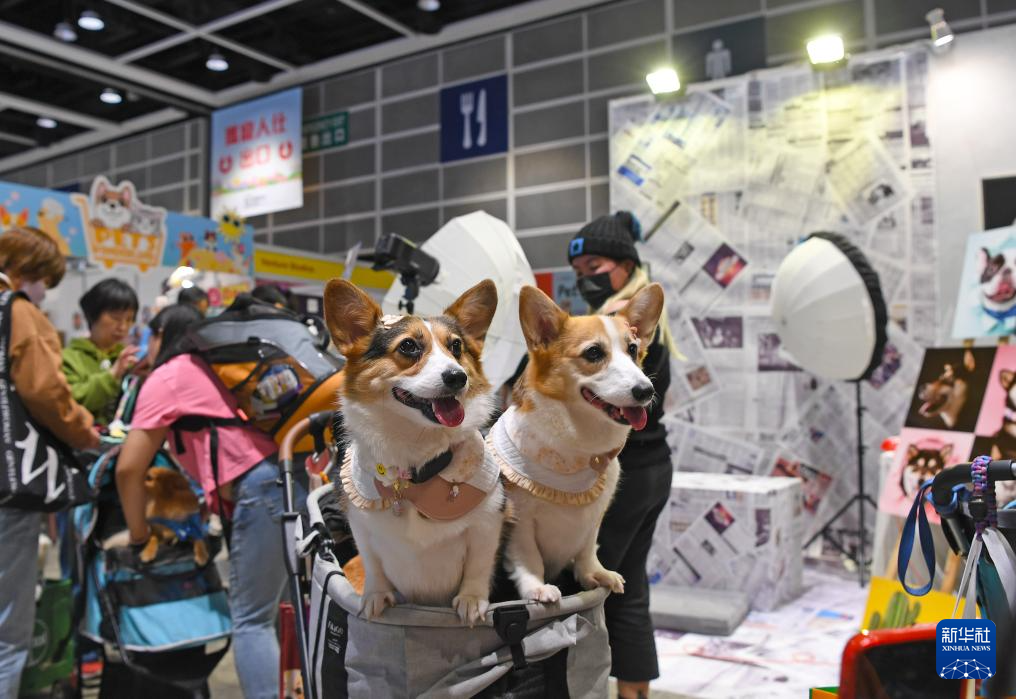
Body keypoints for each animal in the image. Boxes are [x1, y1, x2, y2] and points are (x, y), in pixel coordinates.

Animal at [325, 276, 508, 621]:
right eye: (408, 346)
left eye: (456, 347)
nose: (458, 377)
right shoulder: (362, 528)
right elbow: (373, 567)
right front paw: (375, 597)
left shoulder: (487, 524)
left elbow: (478, 567)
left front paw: (471, 601)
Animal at [493, 282, 666, 601]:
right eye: (594, 353)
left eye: (633, 349)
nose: (646, 391)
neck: (578, 447)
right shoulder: (520, 520)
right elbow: (529, 557)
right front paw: (537, 588)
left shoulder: (594, 518)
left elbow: (586, 550)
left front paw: (595, 575)